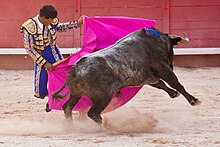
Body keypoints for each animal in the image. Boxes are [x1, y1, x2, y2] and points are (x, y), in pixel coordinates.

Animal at [52, 28, 201, 124]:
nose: (172, 62)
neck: (158, 41)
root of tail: (75, 68)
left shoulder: (148, 77)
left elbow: (161, 84)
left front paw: (174, 94)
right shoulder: (163, 68)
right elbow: (175, 83)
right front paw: (194, 100)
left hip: (76, 93)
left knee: (67, 107)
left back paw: (71, 125)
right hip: (103, 96)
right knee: (93, 113)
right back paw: (105, 126)